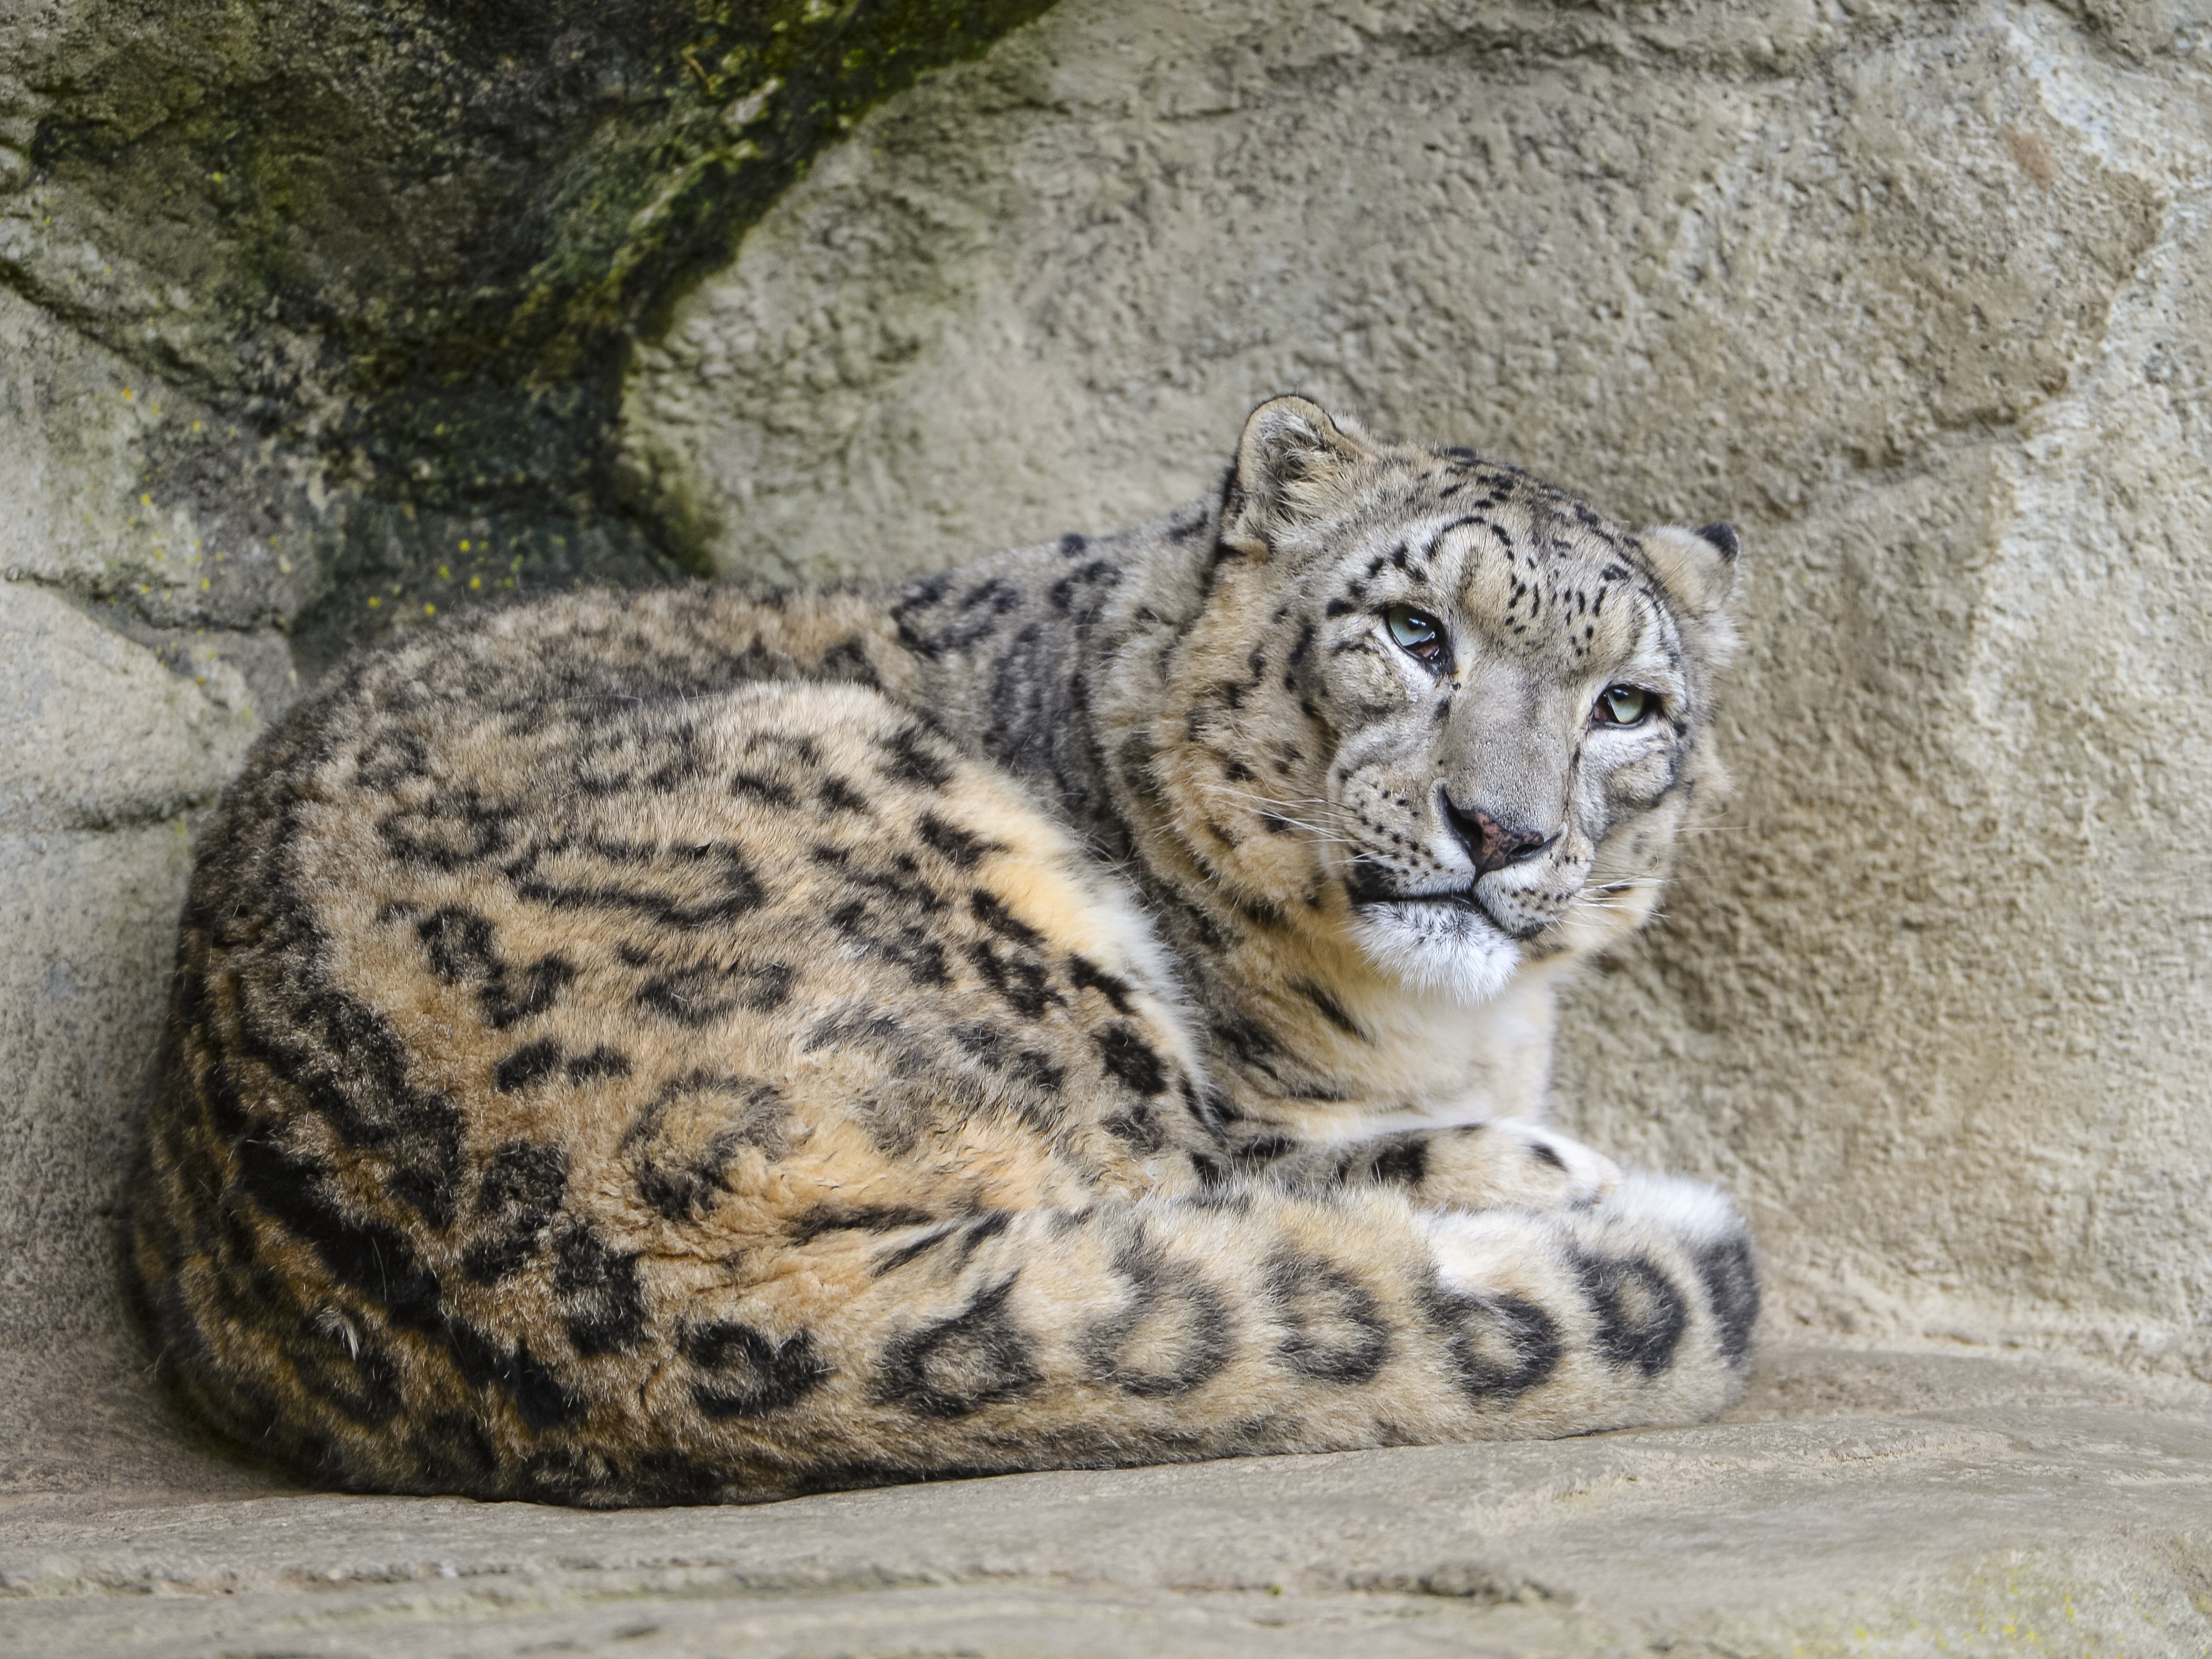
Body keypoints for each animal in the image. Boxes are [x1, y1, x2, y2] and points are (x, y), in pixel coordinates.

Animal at [130, 397, 1758, 1506]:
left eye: (1625, 704)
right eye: (1415, 631)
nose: (1500, 828)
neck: (1457, 1026)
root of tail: (573, 1273)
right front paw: (1529, 1157)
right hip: (995, 914)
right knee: (1181, 1182)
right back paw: (1547, 1176)